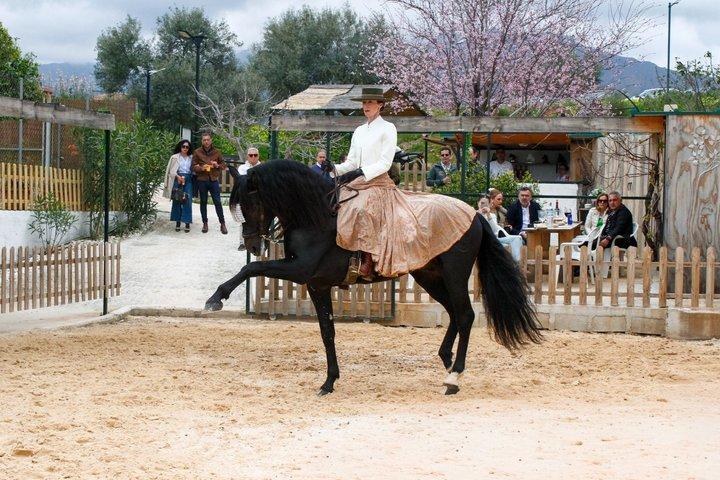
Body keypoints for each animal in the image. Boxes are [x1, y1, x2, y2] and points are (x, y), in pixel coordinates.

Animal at [204, 160, 542, 395]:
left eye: (252, 203)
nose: (251, 245)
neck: (317, 215)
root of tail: (473, 215)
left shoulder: (301, 271)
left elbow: (251, 269)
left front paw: (216, 297)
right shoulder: (316, 284)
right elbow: (327, 333)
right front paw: (329, 381)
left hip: (454, 275)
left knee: (466, 315)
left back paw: (454, 376)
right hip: (428, 276)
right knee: (454, 314)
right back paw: (447, 362)